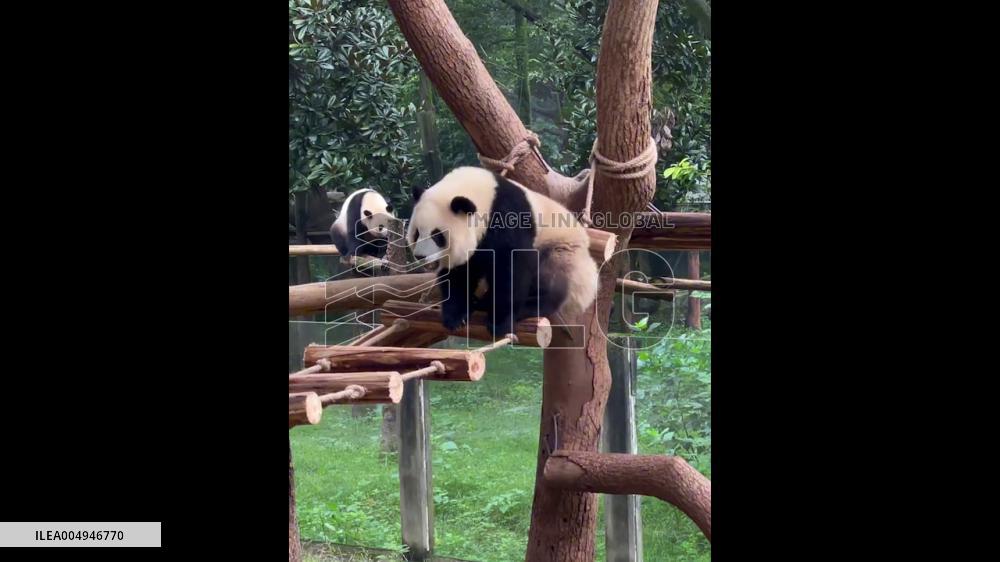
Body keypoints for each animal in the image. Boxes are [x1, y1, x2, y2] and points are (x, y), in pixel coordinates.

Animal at [406, 166, 599, 337]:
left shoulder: (508, 218)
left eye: (437, 235)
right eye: (417, 233)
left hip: (562, 250)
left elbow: (511, 270)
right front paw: (456, 316)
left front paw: (500, 324)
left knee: (550, 280)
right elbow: (460, 273)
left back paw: (526, 306)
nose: (420, 256)